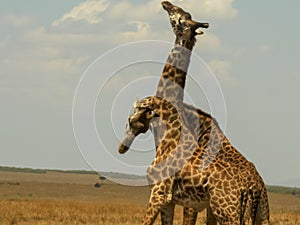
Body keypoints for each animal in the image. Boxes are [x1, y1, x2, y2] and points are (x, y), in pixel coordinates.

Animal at [118, 96, 270, 224]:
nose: (122, 147)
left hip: (228, 213)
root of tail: (253, 185)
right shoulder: (170, 201)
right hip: (261, 214)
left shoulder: (159, 194)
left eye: (130, 120)